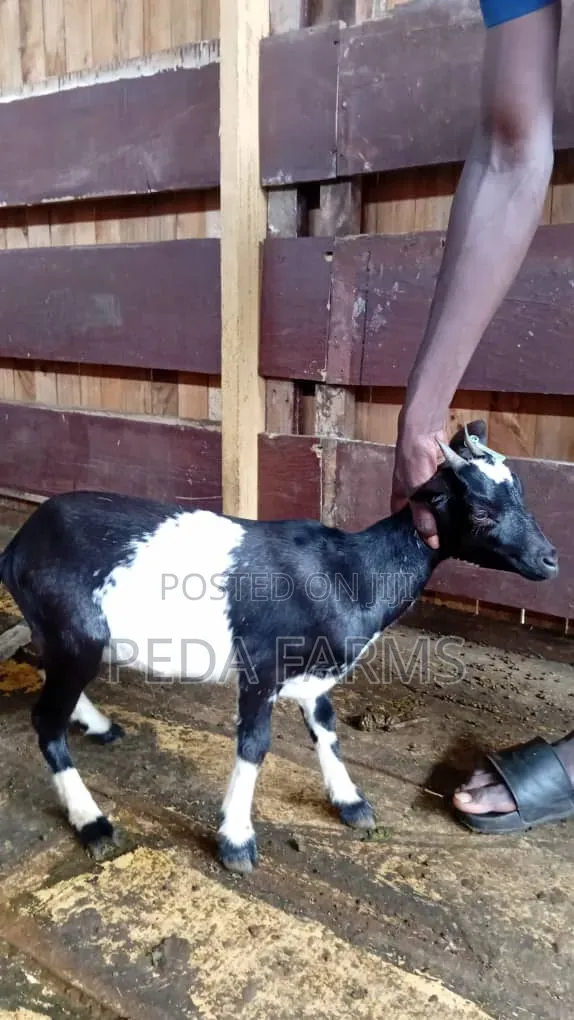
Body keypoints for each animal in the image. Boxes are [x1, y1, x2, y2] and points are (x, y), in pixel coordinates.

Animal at [0, 420, 558, 873]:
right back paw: (92, 821)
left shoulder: (314, 675)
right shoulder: (261, 668)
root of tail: (19, 545)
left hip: (63, 637)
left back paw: (97, 724)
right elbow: (254, 746)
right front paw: (236, 841)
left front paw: (350, 802)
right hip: (78, 634)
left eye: (523, 496)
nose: (550, 559)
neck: (352, 573)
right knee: (45, 719)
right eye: (481, 511)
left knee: (45, 671)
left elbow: (327, 729)